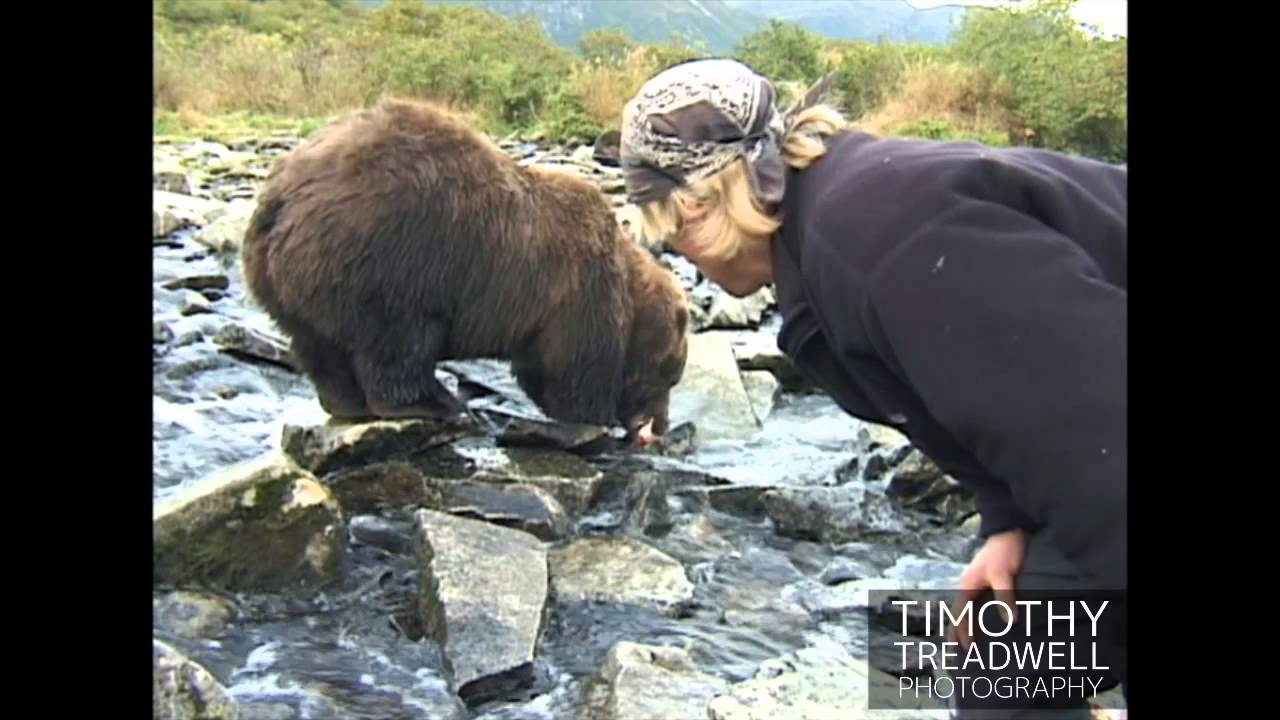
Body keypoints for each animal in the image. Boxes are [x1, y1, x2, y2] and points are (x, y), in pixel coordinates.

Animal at [240, 98, 691, 440]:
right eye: (670, 373)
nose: (659, 426)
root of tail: (281, 196)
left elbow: (539, 370)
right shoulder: (580, 290)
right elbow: (576, 367)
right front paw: (597, 416)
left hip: (286, 278)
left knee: (318, 345)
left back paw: (346, 401)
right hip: (397, 255)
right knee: (398, 342)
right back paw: (437, 403)